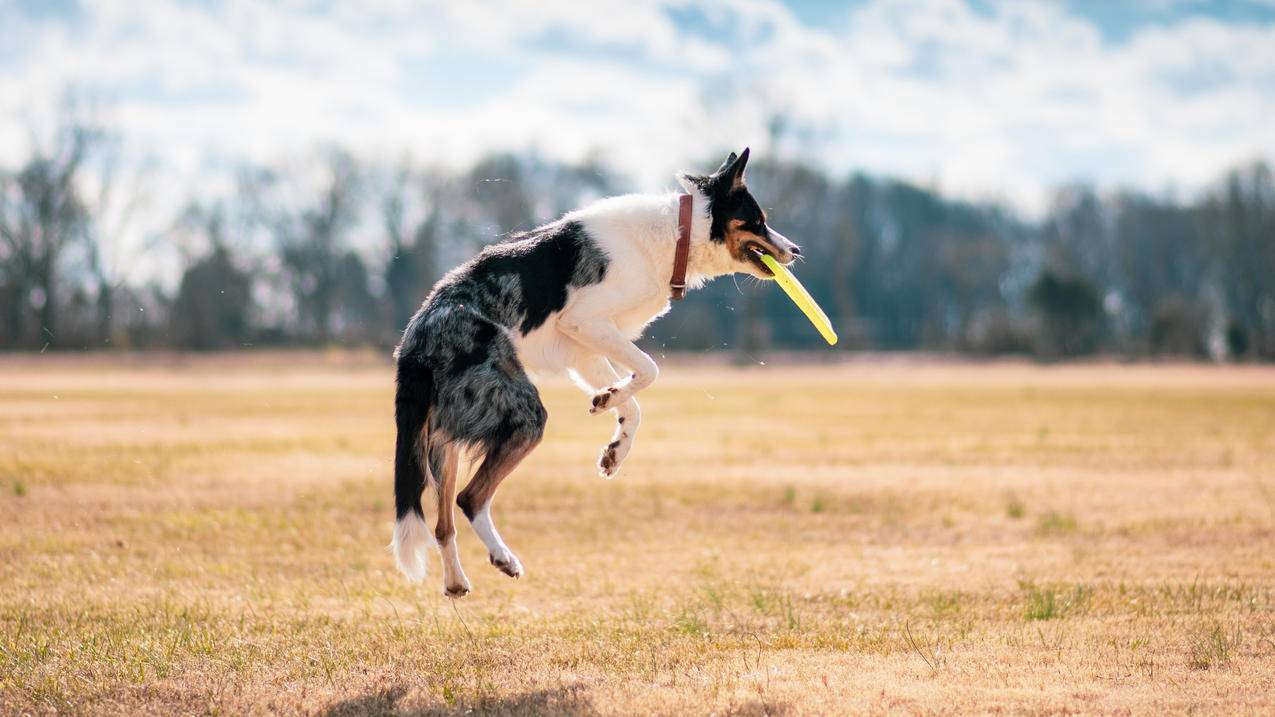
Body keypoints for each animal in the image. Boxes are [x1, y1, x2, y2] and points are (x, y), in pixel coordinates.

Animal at [392, 147, 800, 594]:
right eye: (758, 220)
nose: (796, 250)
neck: (677, 235)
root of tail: (416, 339)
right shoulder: (585, 322)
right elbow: (650, 371)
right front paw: (609, 401)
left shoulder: (584, 349)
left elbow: (634, 405)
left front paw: (614, 444)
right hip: (522, 414)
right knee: (470, 498)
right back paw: (502, 557)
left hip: (443, 439)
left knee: (443, 521)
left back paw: (456, 581)